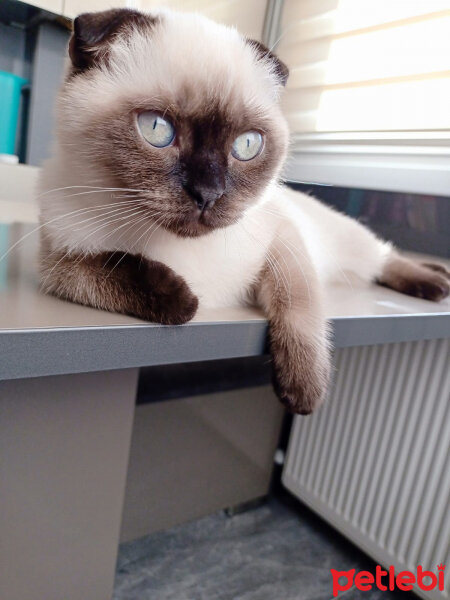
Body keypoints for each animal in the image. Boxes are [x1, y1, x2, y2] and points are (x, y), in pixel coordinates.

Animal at [37, 9, 446, 414]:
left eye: (247, 145)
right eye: (156, 129)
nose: (208, 194)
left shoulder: (284, 243)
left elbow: (299, 306)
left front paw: (304, 392)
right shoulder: (55, 261)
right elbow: (96, 271)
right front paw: (183, 302)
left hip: (350, 243)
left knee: (385, 255)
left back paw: (437, 282)